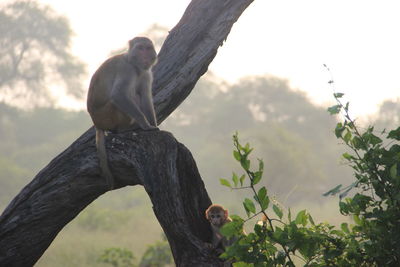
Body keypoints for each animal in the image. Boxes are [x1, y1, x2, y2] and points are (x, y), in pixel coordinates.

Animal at [87, 36, 158, 189]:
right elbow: (118, 94)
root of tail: (96, 123)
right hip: (107, 116)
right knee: (127, 95)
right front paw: (145, 125)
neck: (135, 66)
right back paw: (124, 129)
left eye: (148, 48)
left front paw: (153, 125)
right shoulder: (126, 70)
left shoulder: (146, 73)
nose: (145, 56)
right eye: (140, 48)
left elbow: (145, 97)